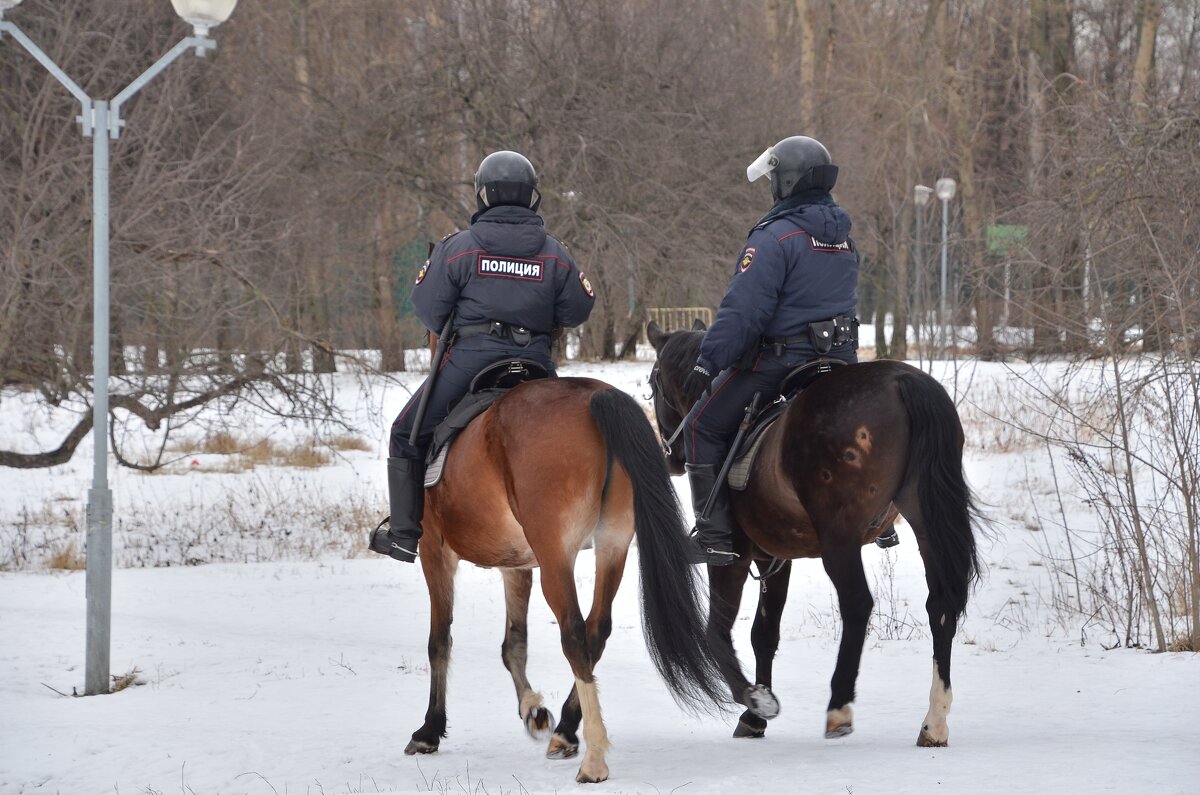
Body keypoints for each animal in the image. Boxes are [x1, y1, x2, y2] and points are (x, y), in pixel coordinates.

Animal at [408, 374, 753, 782]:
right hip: (612, 545)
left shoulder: (434, 549)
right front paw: (533, 711)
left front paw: (429, 729)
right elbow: (514, 644)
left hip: (556, 557)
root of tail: (594, 396)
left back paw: (594, 757)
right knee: (596, 630)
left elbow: (439, 642)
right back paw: (566, 732)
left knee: (574, 634)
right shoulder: (516, 563)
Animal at [652, 321, 979, 749]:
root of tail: (902, 381)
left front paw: (754, 700)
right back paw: (934, 722)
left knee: (857, 604)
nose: (671, 457)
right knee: (940, 606)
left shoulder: (733, 555)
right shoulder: (774, 557)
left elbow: (716, 632)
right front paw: (754, 717)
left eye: (653, 382)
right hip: (925, 521)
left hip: (839, 540)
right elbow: (764, 634)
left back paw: (839, 707)